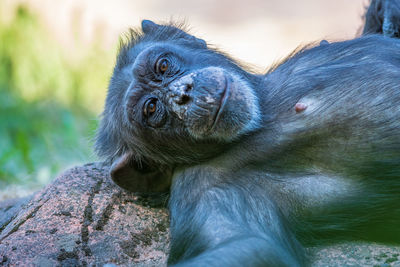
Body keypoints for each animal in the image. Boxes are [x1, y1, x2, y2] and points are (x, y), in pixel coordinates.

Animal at [96, 0, 400, 266]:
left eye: (163, 65)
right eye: (151, 108)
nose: (183, 93)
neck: (261, 118)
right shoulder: (204, 195)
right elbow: (253, 246)